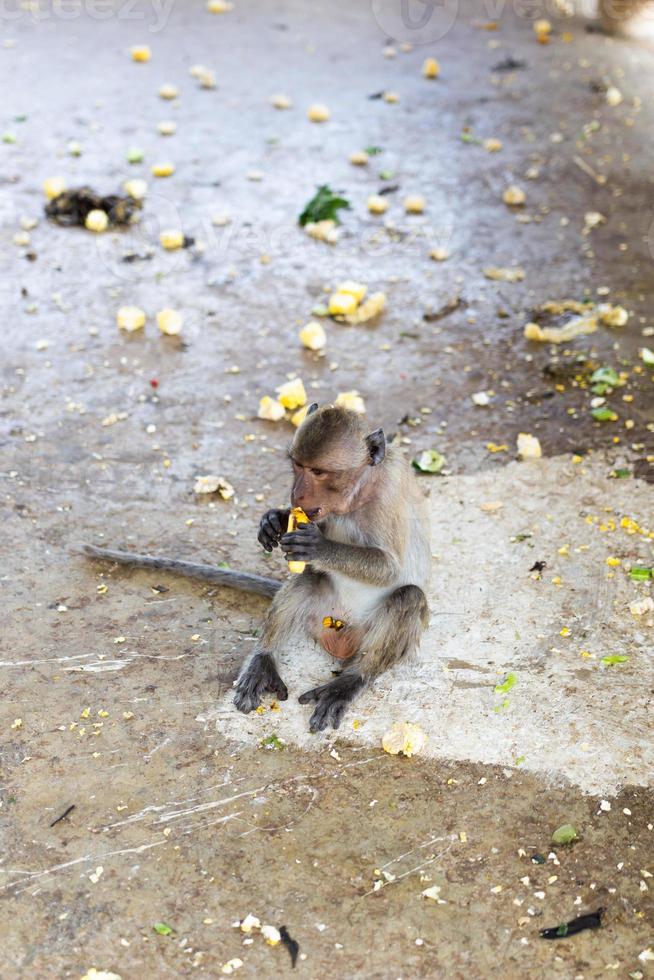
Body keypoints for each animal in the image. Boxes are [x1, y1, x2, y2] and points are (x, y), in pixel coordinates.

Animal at [82, 402, 434, 732]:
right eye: (298, 465)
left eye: (319, 472)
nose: (297, 493)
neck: (359, 493)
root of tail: (341, 638)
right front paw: (275, 519)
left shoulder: (387, 497)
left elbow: (389, 568)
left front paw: (319, 546)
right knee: (307, 578)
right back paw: (263, 659)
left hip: (365, 636)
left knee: (408, 596)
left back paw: (351, 680)